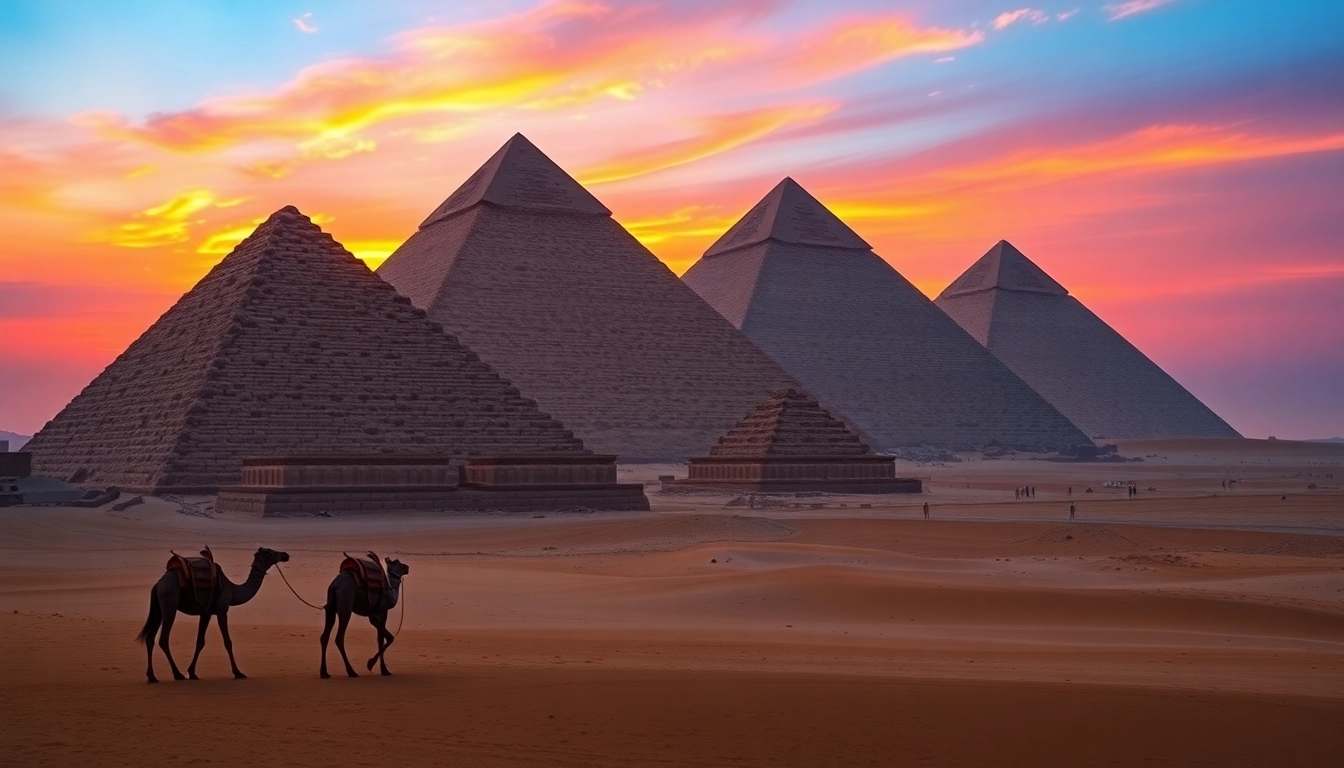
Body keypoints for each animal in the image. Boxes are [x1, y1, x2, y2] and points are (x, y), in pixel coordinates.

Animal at [136, 546, 290, 683]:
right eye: (270, 552)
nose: (285, 555)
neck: (233, 590)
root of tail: (157, 585)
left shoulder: (206, 613)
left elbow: (200, 642)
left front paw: (192, 672)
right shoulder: (222, 610)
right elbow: (228, 642)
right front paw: (238, 672)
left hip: (159, 609)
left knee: (150, 638)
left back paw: (152, 676)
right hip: (169, 604)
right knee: (163, 639)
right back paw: (177, 674)